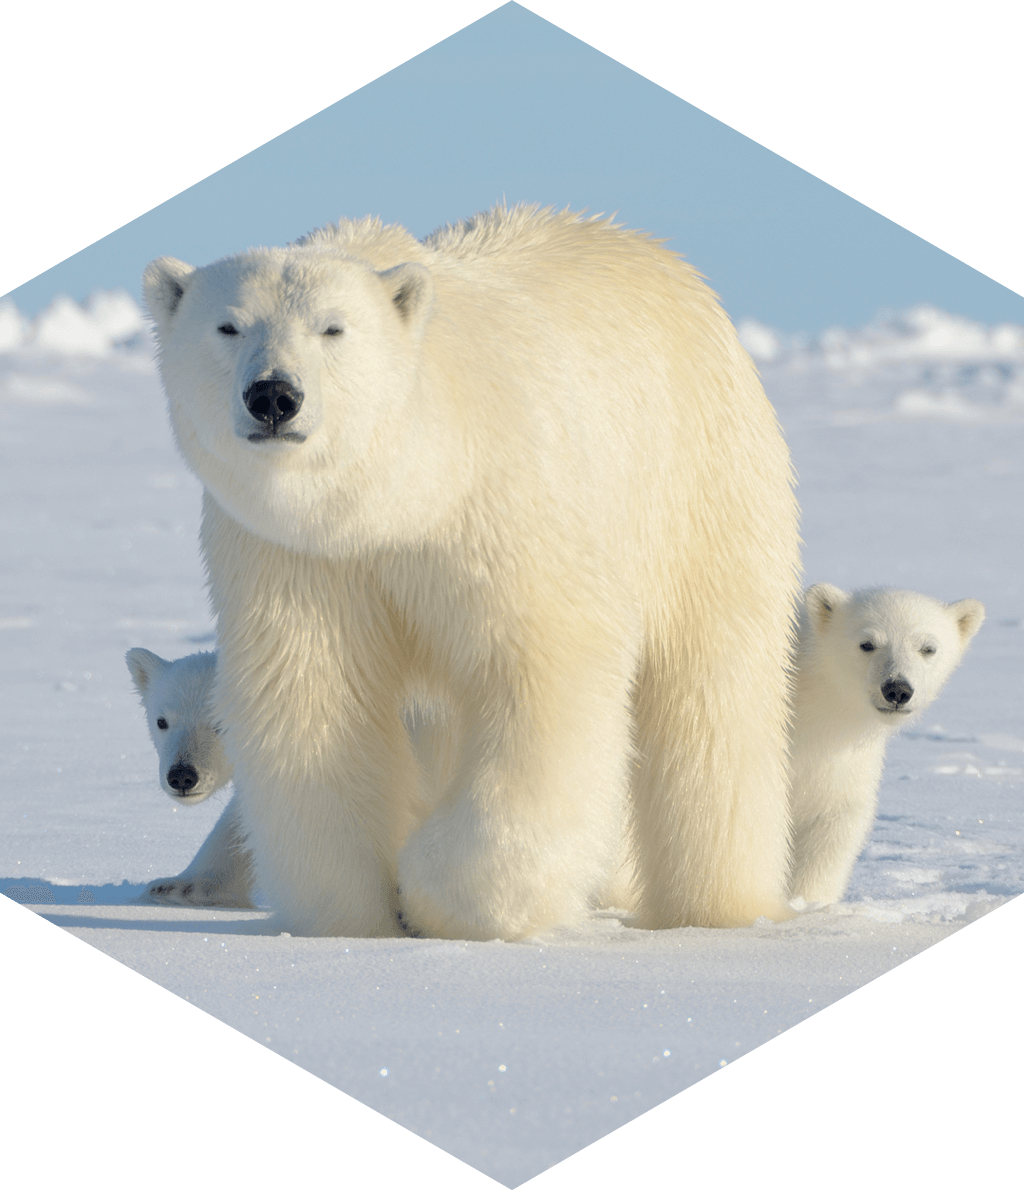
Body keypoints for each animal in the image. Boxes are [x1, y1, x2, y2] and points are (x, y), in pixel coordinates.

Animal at [142, 203, 801, 940]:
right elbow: (314, 702)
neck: (400, 493)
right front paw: (353, 915)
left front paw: (437, 896)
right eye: (228, 326)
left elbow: (545, 679)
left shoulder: (504, 512)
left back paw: (715, 907)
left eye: (332, 327)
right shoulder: (294, 557)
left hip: (701, 484)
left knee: (713, 698)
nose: (274, 396)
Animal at [787, 584, 985, 906]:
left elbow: (835, 822)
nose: (897, 689)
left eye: (928, 648)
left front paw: (807, 903)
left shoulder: (839, 760)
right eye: (867, 644)